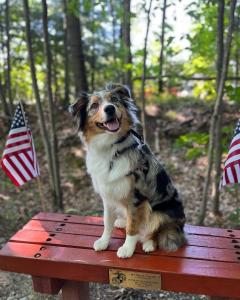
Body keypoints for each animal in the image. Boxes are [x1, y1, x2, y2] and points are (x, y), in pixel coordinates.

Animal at [69, 84, 186, 258]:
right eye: (94, 105)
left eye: (114, 99)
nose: (110, 109)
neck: (111, 148)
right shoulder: (107, 194)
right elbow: (107, 222)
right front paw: (104, 241)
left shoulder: (136, 197)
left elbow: (133, 227)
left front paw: (127, 249)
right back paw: (122, 221)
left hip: (161, 213)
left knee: (156, 230)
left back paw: (149, 244)